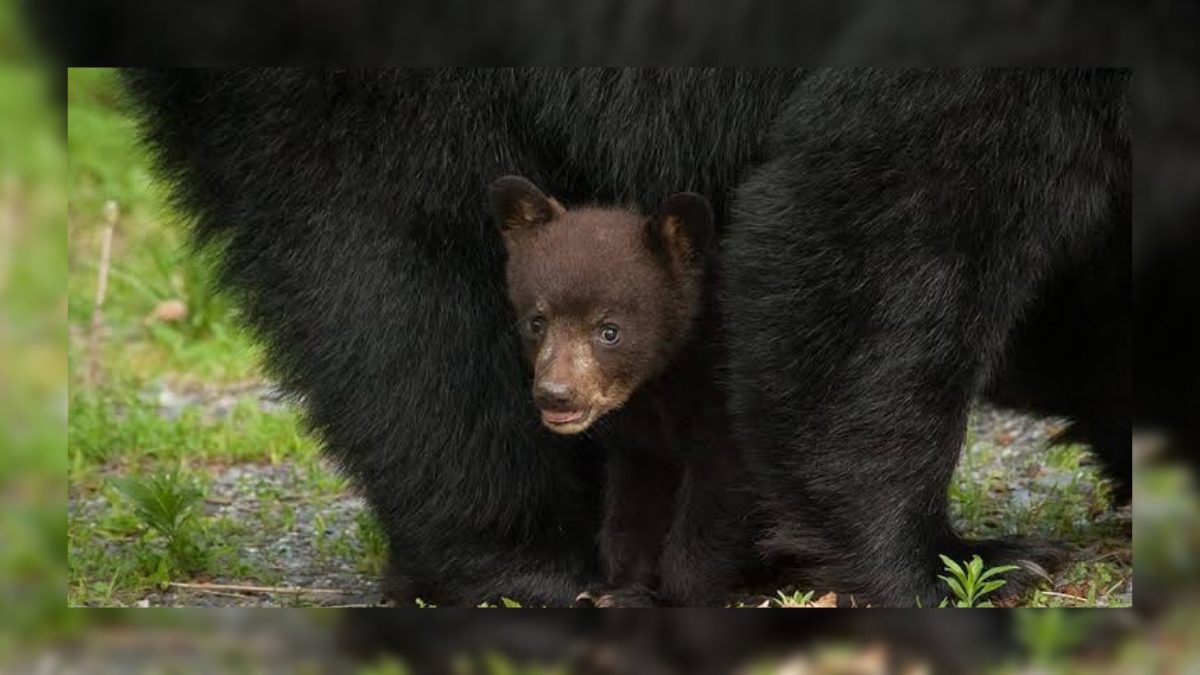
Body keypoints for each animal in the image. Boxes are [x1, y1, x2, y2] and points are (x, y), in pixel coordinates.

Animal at [488, 175, 762, 606]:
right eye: (536, 322)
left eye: (609, 331)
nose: (556, 394)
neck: (658, 385)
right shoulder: (638, 440)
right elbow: (632, 506)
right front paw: (616, 586)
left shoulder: (721, 407)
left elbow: (715, 499)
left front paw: (674, 594)